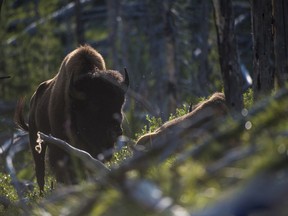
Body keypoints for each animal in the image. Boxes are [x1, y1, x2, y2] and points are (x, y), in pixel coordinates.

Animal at [14, 44, 129, 192]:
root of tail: (35, 98)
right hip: (36, 139)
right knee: (40, 171)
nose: (116, 131)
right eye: (94, 104)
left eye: (121, 103)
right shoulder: (61, 147)